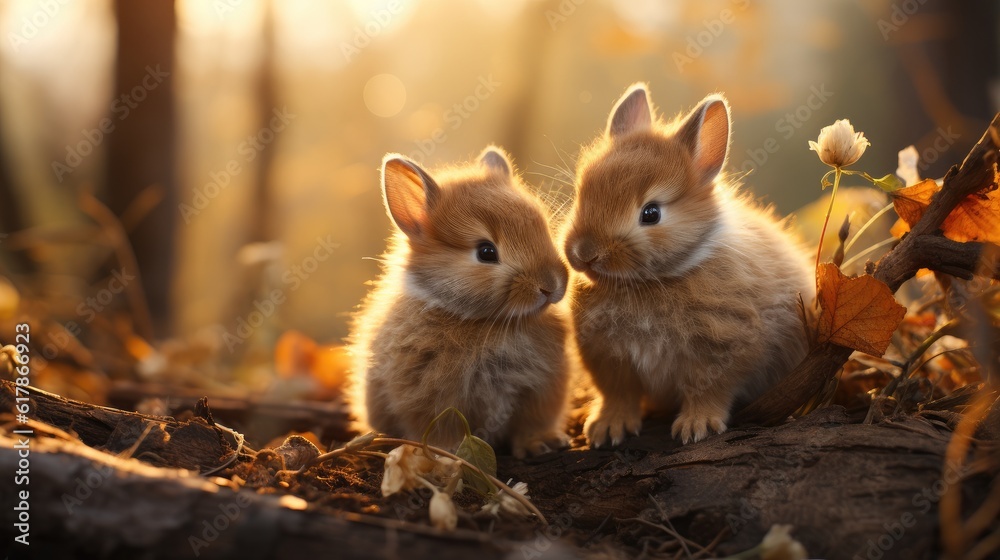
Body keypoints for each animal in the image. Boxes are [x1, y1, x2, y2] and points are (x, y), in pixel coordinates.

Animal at [350, 147, 572, 458]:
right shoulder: (433, 400)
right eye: (486, 252)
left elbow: (532, 422)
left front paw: (541, 443)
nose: (552, 285)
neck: (485, 321)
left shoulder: (542, 389)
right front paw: (447, 453)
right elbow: (441, 428)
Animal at [564, 84, 812, 446]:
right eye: (581, 192)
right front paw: (608, 429)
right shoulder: (609, 360)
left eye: (651, 213)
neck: (655, 280)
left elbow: (707, 391)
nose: (584, 253)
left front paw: (697, 427)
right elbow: (619, 395)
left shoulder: (723, 348)